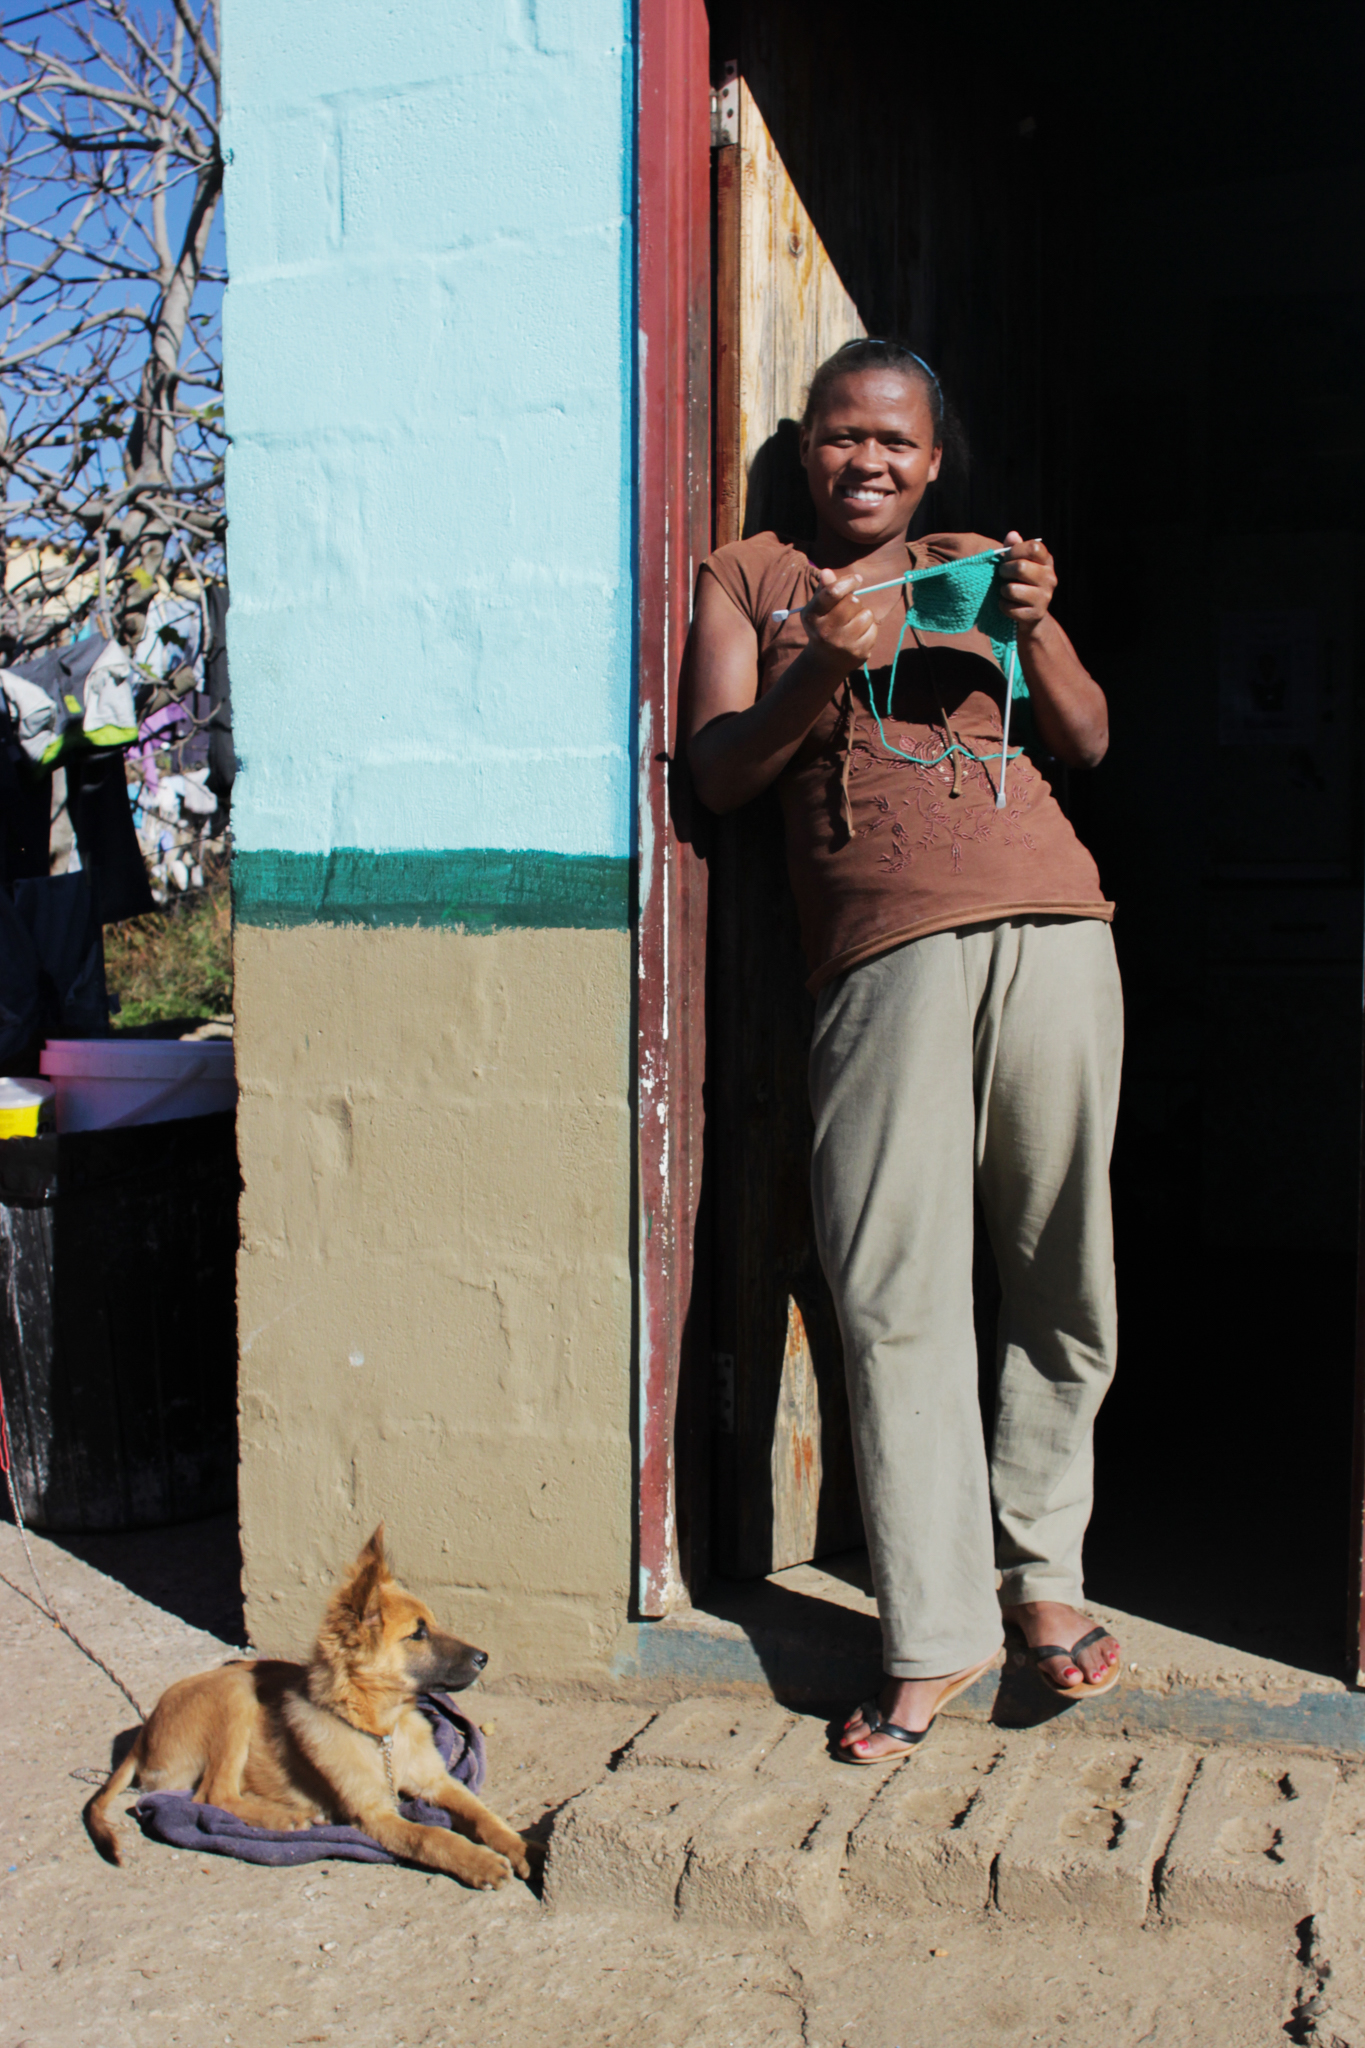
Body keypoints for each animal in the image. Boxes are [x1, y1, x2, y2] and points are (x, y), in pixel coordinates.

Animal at [82, 1523, 536, 1884]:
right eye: (418, 1634)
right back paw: (284, 1817)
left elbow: (482, 1814)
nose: (484, 1658)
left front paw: (519, 1845)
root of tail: (143, 1736)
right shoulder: (375, 1815)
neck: (380, 1730)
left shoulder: (437, 1782)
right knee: (212, 1796)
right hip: (235, 1694)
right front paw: (479, 1862)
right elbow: (432, 1835)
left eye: (434, 1624)